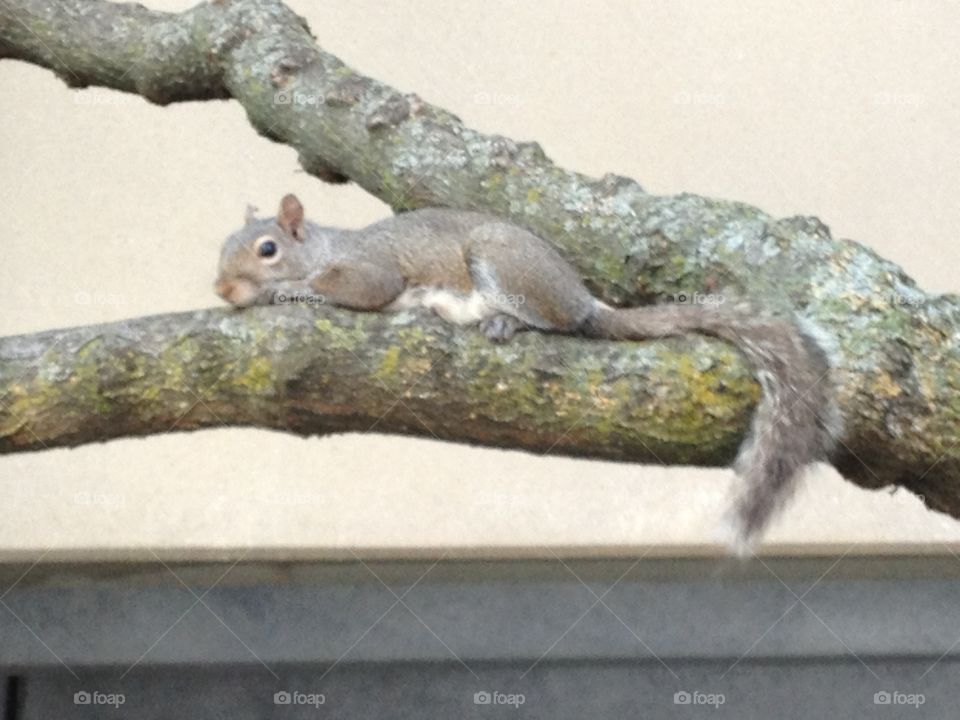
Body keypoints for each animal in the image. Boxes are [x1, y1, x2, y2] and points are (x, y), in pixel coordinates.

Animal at [215, 194, 842, 550]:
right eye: (223, 244)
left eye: (267, 248)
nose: (221, 288)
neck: (324, 247)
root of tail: (582, 299)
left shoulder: (374, 271)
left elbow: (352, 289)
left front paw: (285, 291)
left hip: (503, 265)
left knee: (554, 325)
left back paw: (505, 321)